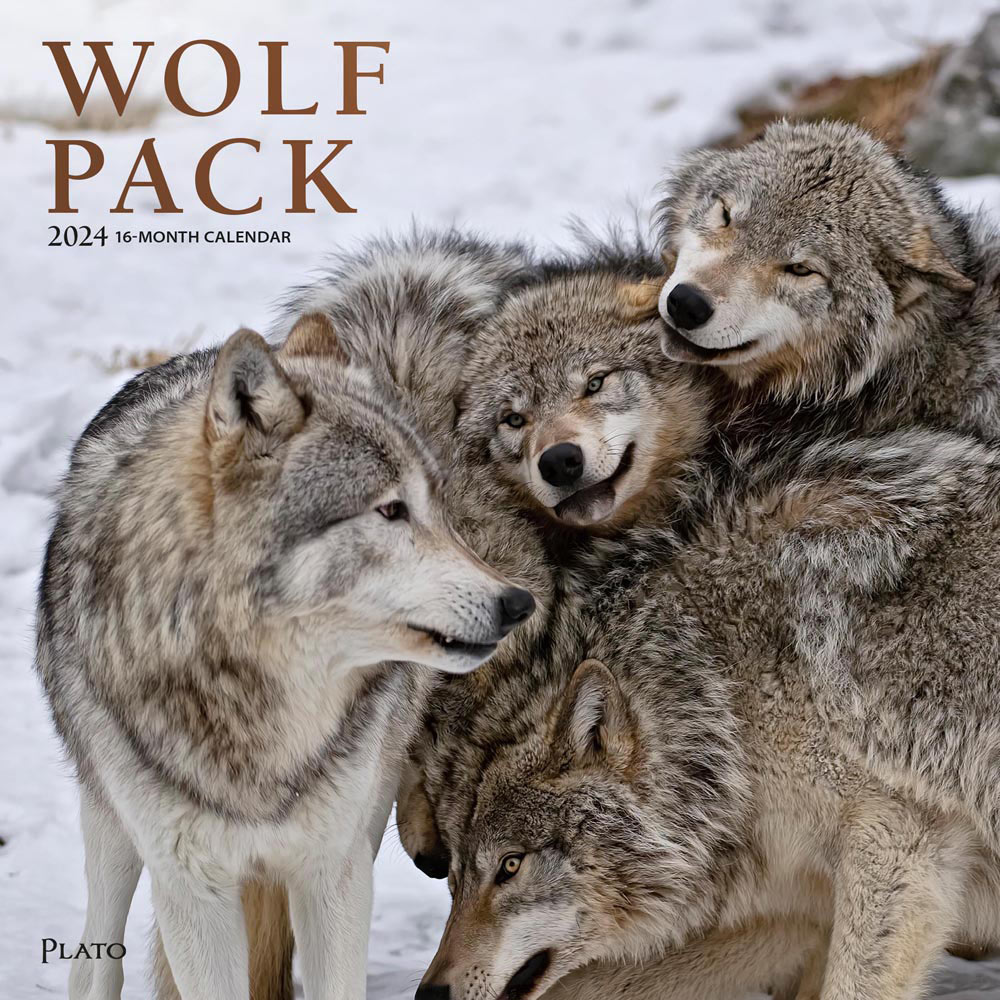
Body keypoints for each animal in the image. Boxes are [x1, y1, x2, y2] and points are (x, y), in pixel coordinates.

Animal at [35, 309, 537, 1000]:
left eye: (436, 508)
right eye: (390, 510)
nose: (519, 603)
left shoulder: (334, 873)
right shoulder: (192, 889)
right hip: (111, 828)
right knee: (95, 956)